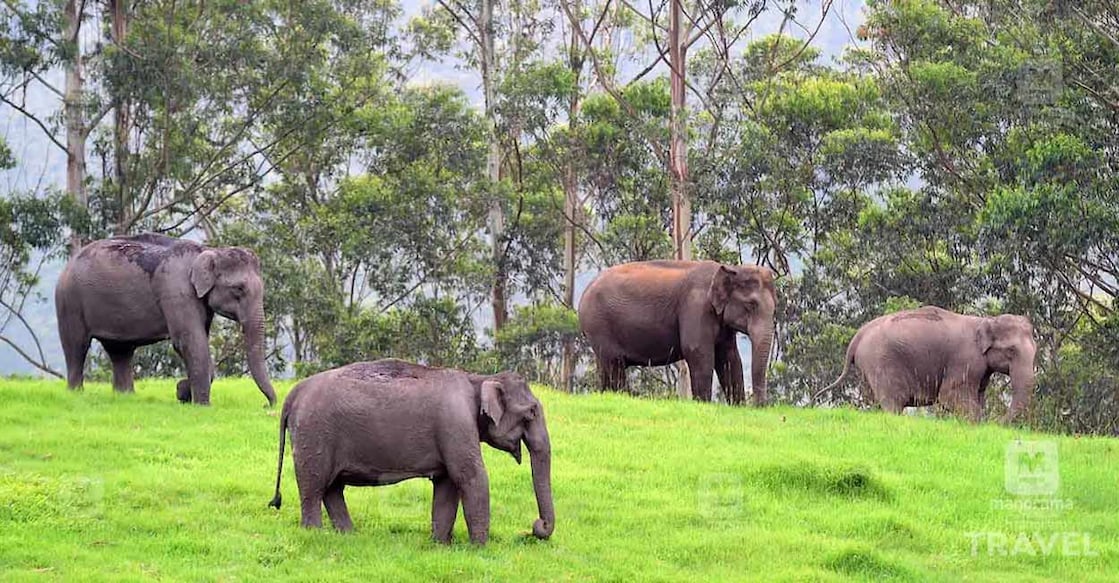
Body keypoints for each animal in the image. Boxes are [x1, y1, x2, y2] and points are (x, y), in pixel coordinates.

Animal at [55, 231, 276, 405]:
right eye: (238, 289)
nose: (267, 405)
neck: (207, 251)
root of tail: (68, 264)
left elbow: (197, 340)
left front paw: (183, 392)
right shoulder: (177, 291)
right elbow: (188, 341)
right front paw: (198, 403)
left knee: (120, 351)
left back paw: (125, 397)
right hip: (69, 302)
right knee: (77, 346)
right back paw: (76, 394)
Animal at [266, 355, 555, 543]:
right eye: (531, 412)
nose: (536, 527)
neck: (477, 379)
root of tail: (292, 395)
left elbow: (447, 484)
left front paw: (440, 545)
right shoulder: (456, 424)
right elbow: (471, 476)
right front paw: (480, 548)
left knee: (332, 487)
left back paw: (348, 535)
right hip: (314, 434)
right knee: (314, 486)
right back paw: (314, 533)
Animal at [577, 260, 778, 405]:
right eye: (751, 305)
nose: (759, 406)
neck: (731, 268)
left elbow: (729, 357)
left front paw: (737, 406)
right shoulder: (695, 308)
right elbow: (698, 352)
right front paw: (703, 405)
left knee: (605, 366)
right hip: (599, 324)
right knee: (615, 364)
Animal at [814, 304, 1038, 422]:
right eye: (1011, 351)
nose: (997, 422)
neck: (986, 320)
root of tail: (858, 335)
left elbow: (977, 395)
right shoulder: (965, 360)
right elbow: (949, 394)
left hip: (866, 368)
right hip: (881, 362)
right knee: (892, 402)